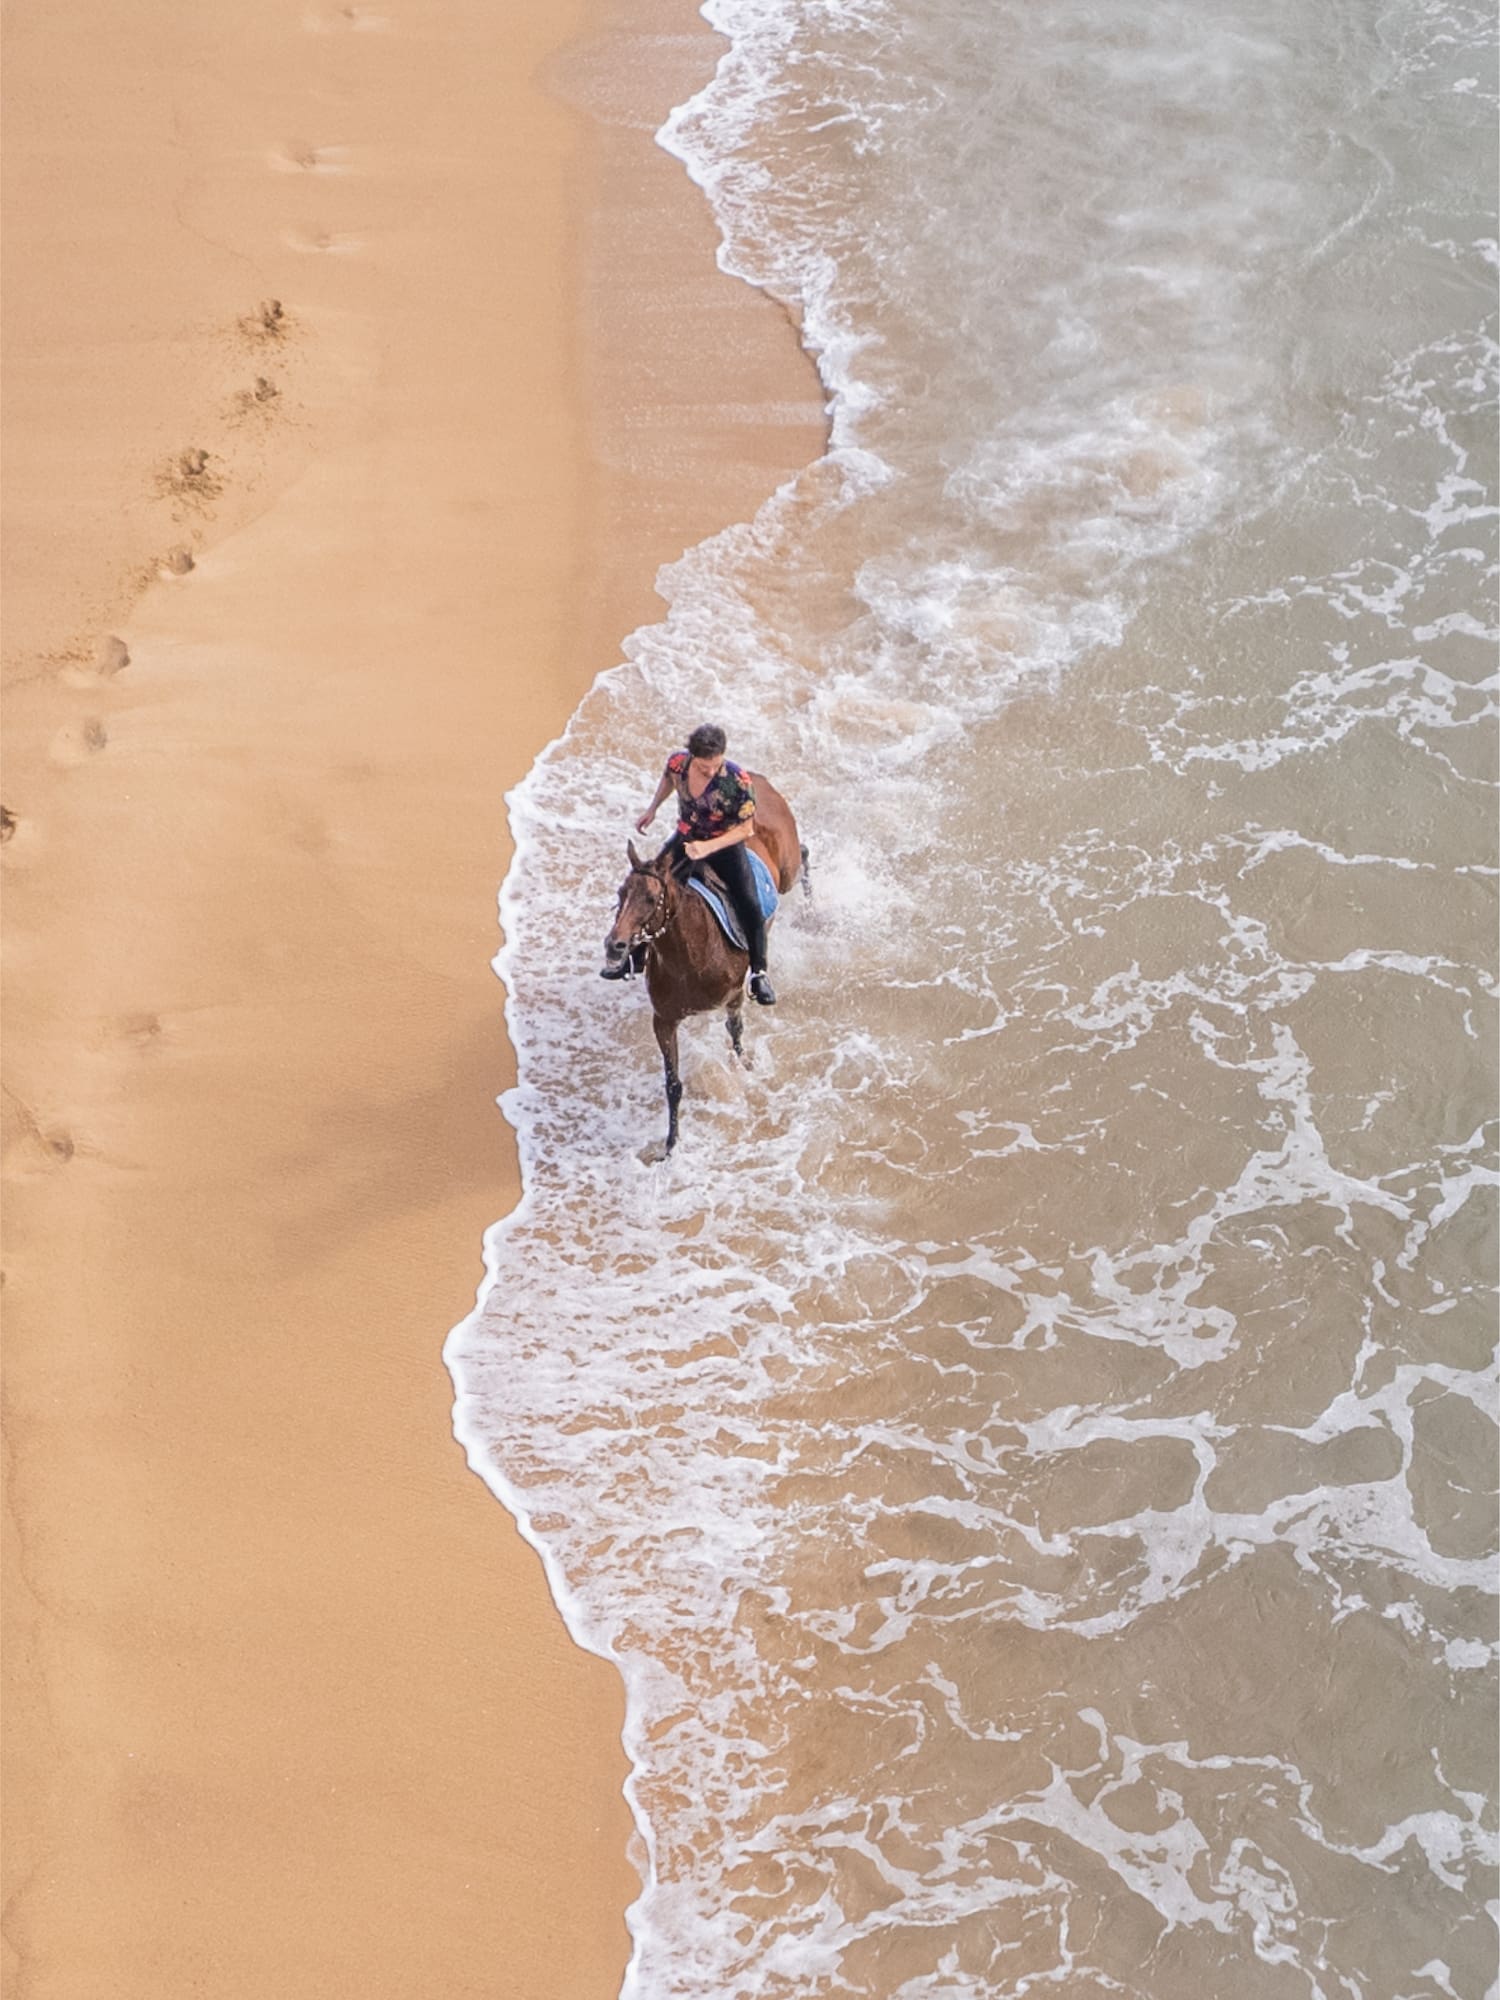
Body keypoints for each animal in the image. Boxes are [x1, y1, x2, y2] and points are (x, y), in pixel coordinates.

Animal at [602, 773, 805, 1158]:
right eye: (621, 893)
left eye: (651, 899)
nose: (614, 945)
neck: (690, 959)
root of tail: (759, 780)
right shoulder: (664, 1019)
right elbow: (673, 1085)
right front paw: (670, 1145)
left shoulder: (734, 996)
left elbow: (736, 1035)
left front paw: (746, 1069)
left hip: (787, 869)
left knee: (804, 859)